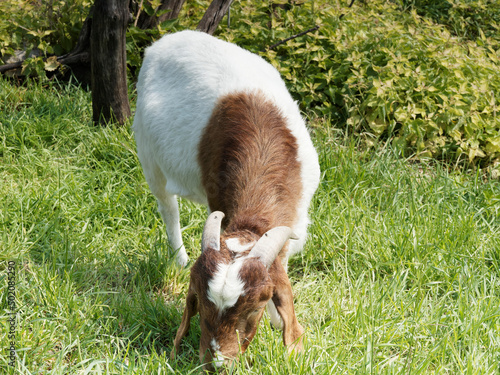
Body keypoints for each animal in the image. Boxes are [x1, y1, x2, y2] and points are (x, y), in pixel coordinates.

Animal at [133, 30, 320, 374]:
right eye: (199, 302)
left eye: (254, 307)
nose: (217, 364)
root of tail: (167, 39)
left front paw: (279, 325)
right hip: (148, 153)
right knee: (168, 207)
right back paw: (178, 257)